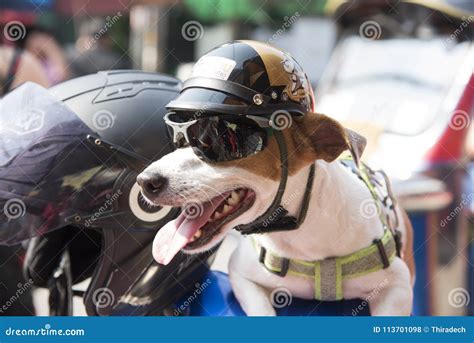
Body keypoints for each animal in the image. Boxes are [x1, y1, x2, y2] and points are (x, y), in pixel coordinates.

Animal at [138, 113, 414, 318]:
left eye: (218, 140)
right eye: (177, 140)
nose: (145, 181)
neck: (304, 235)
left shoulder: (398, 285)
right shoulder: (242, 274)